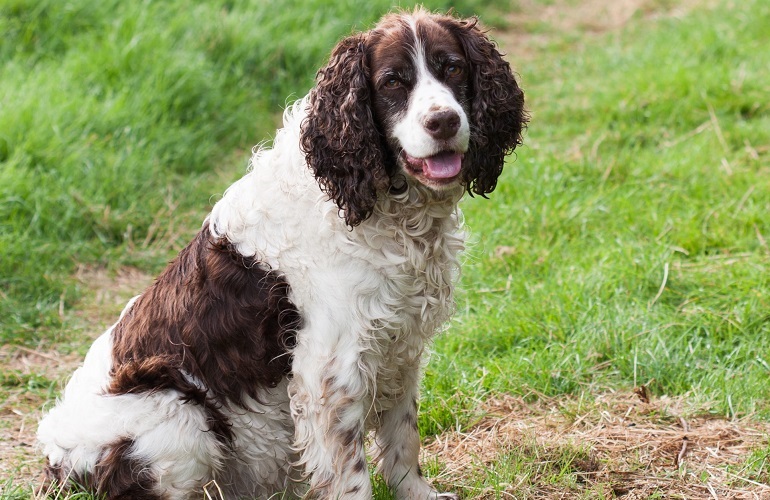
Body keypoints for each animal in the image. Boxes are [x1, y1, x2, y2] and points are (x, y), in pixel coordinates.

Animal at [39, 7, 524, 500]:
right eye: (392, 81)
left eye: (453, 68)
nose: (443, 121)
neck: (381, 211)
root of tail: (56, 462)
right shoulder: (331, 368)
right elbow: (352, 472)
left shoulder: (399, 344)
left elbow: (404, 438)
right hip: (179, 415)